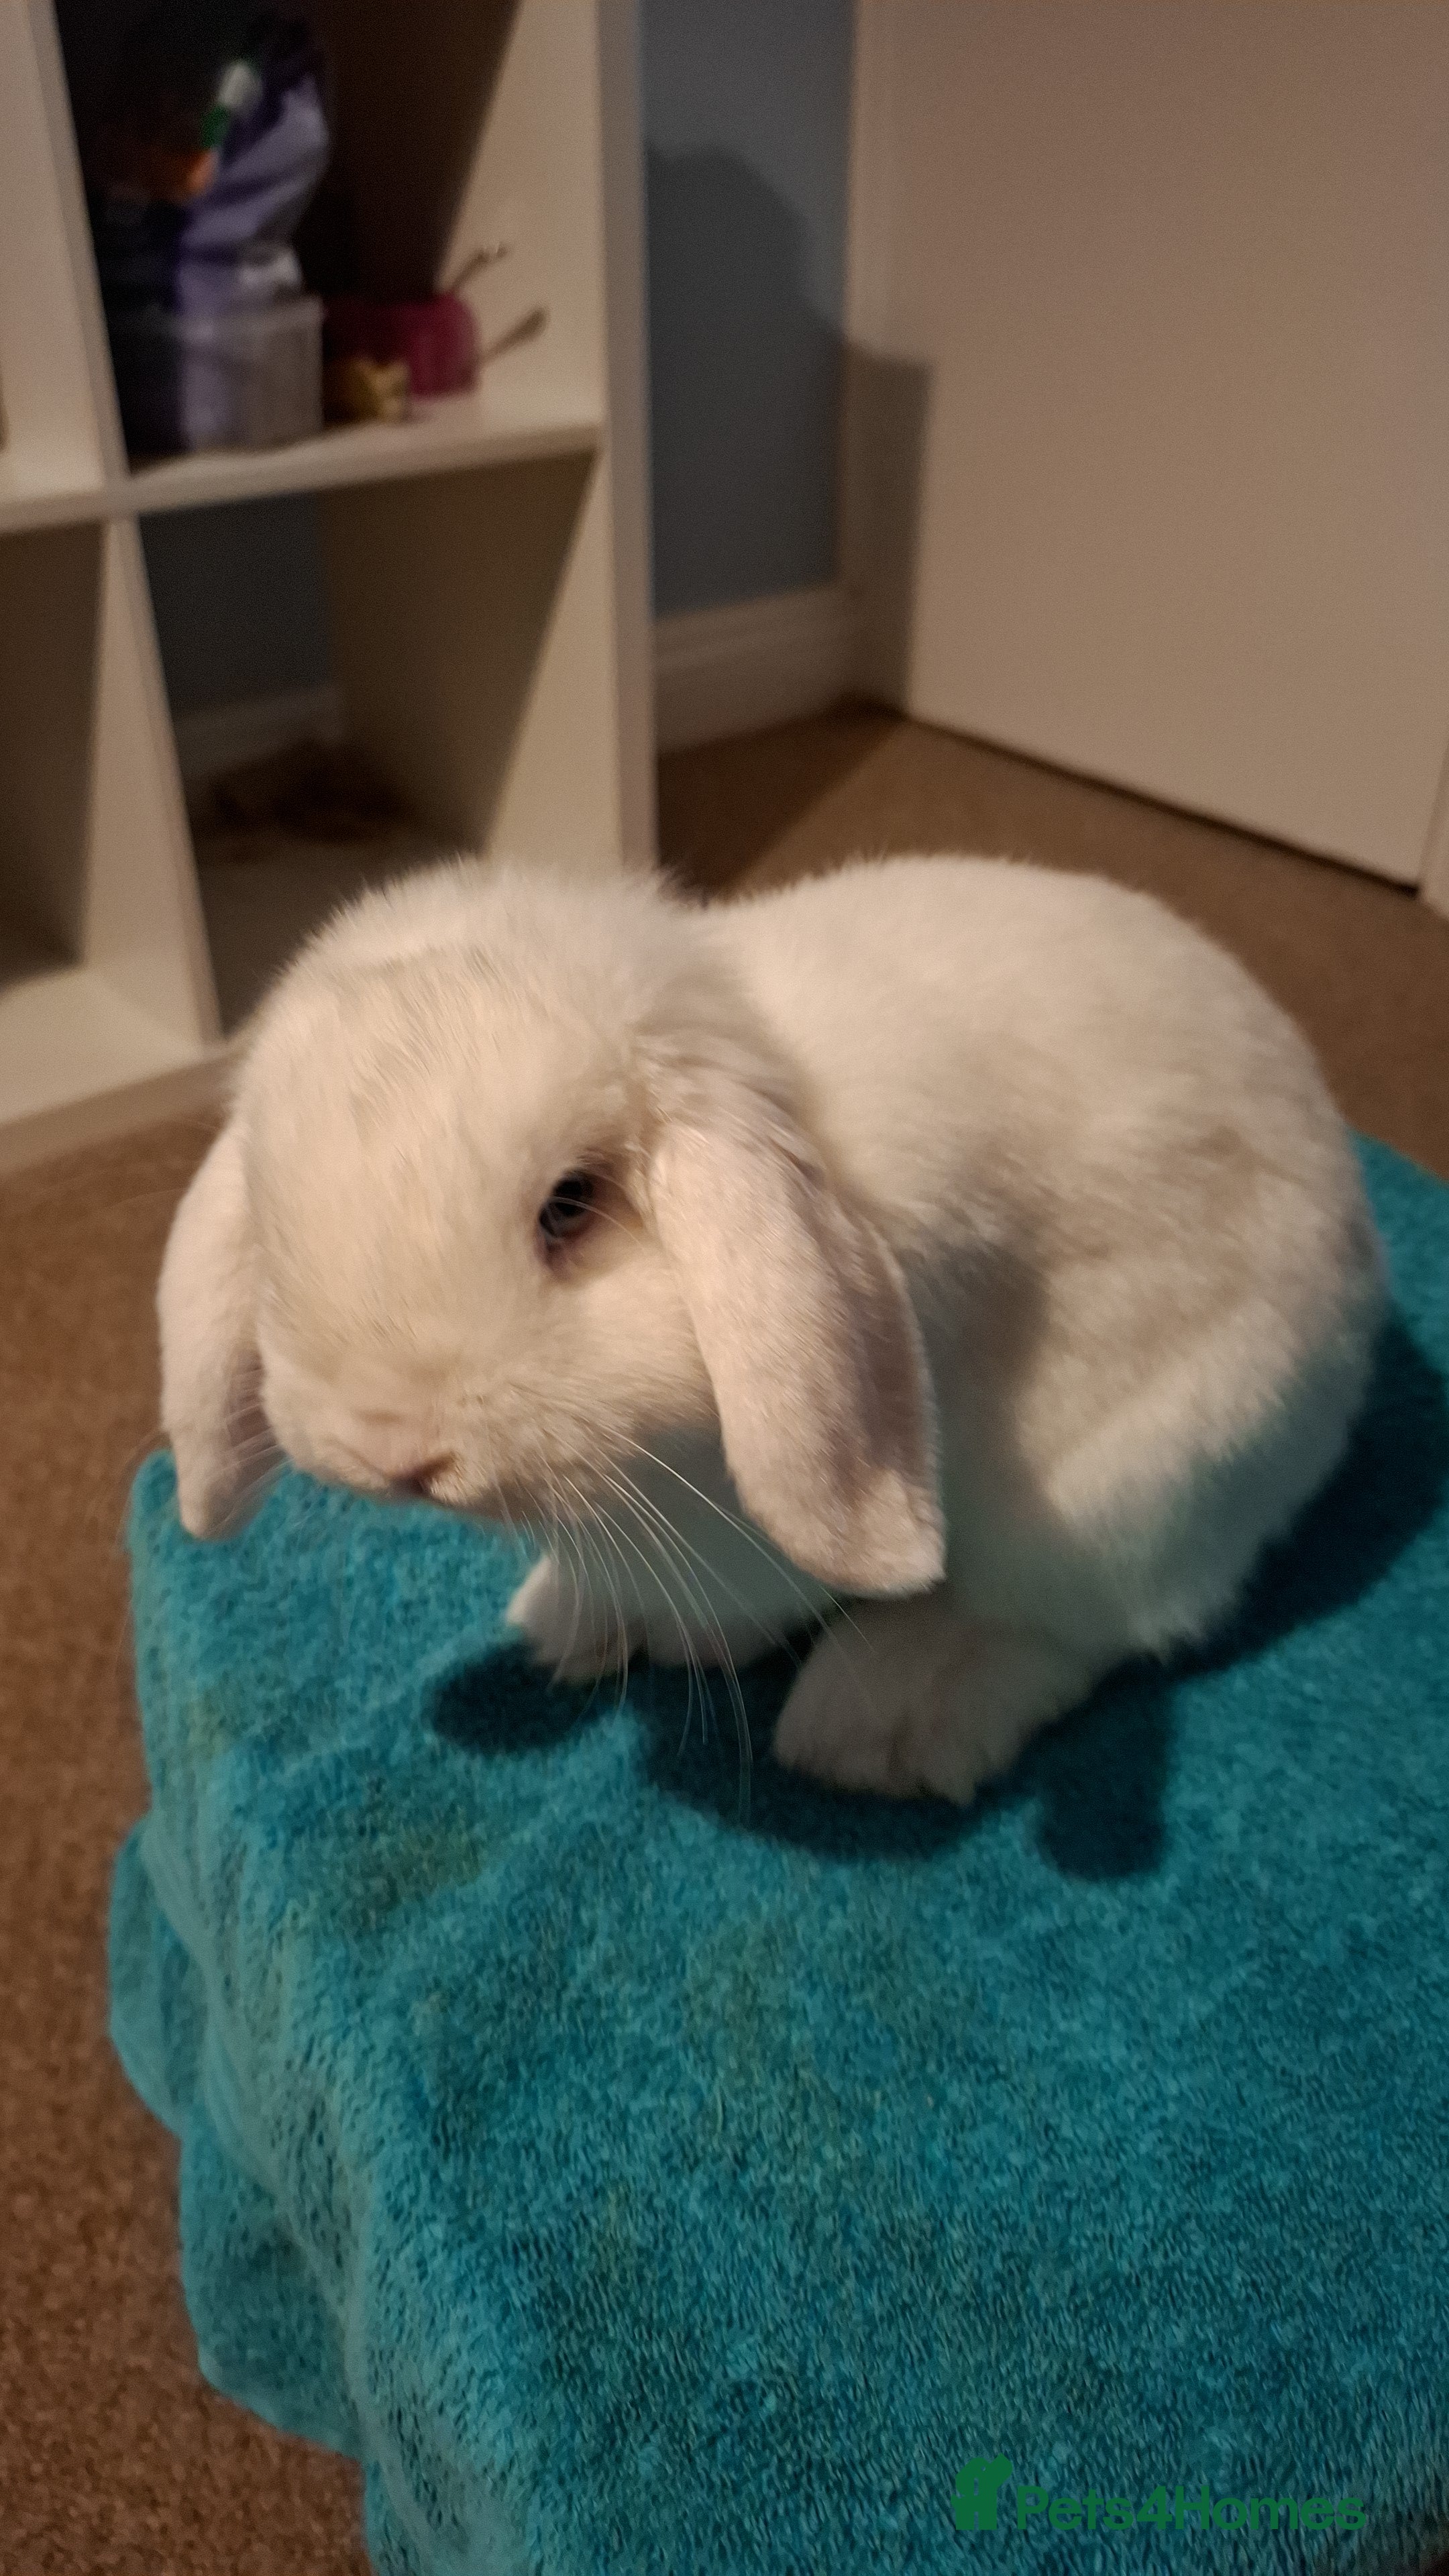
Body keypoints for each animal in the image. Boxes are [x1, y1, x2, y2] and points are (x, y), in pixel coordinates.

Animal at [158, 851, 1385, 1804]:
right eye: (272, 1209)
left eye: (571, 1206)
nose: (392, 1450)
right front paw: (588, 1624)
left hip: (1129, 1491)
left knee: (1079, 1622)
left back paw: (877, 1718)